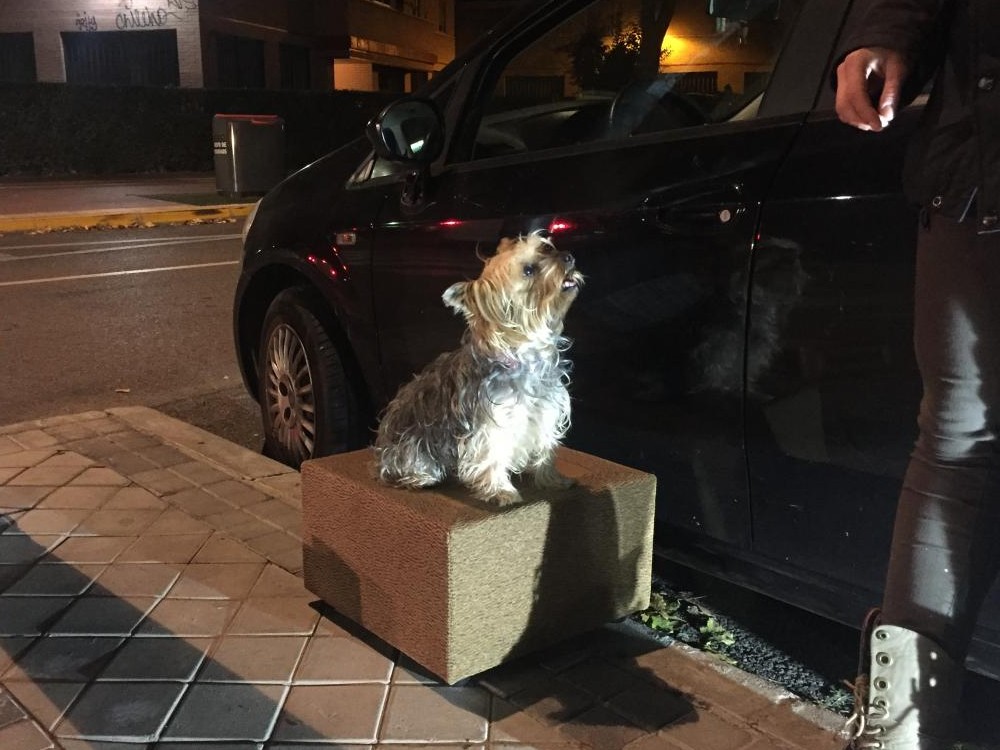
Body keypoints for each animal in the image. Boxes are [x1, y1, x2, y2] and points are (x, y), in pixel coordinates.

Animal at [374, 232, 584, 506]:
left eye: (546, 248)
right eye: (528, 270)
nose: (568, 256)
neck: (525, 357)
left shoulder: (544, 413)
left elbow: (544, 449)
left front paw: (552, 480)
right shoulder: (490, 423)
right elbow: (490, 454)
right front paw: (501, 491)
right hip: (410, 445)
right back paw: (419, 478)